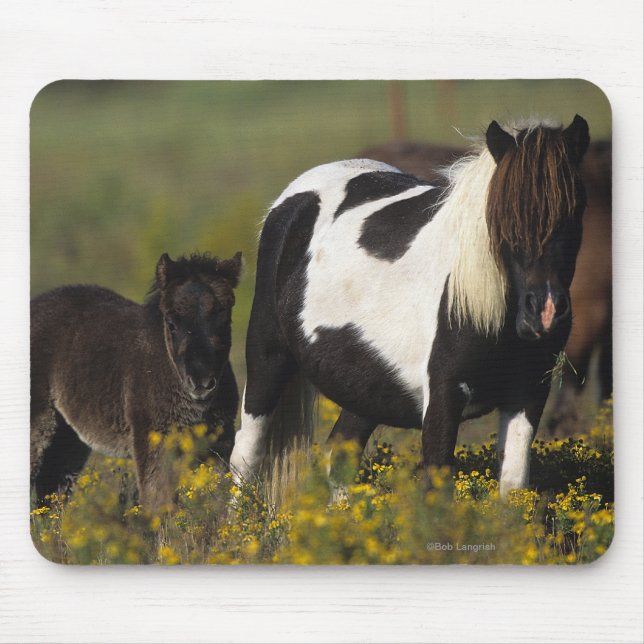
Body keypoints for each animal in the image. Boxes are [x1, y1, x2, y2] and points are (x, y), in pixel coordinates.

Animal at [31, 251, 242, 508]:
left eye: (225, 319)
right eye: (171, 323)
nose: (201, 382)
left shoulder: (218, 443)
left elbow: (217, 500)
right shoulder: (152, 442)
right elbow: (159, 502)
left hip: (68, 437)